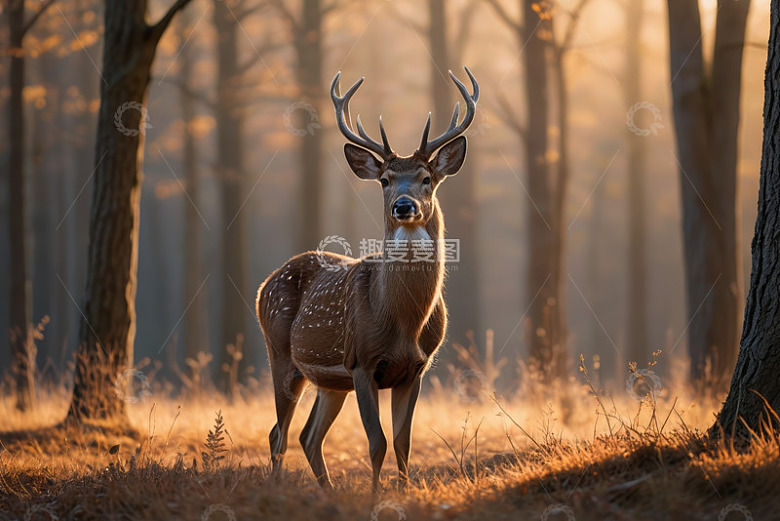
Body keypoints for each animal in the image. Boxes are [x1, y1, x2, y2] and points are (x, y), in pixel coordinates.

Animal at [256, 67, 479, 491]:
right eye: (386, 179)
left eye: (426, 177)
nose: (403, 205)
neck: (404, 321)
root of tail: (263, 286)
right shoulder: (362, 362)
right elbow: (377, 443)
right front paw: (376, 498)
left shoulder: (415, 369)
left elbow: (404, 443)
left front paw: (403, 493)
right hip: (280, 353)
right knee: (278, 433)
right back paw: (277, 489)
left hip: (329, 382)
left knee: (308, 436)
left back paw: (327, 492)